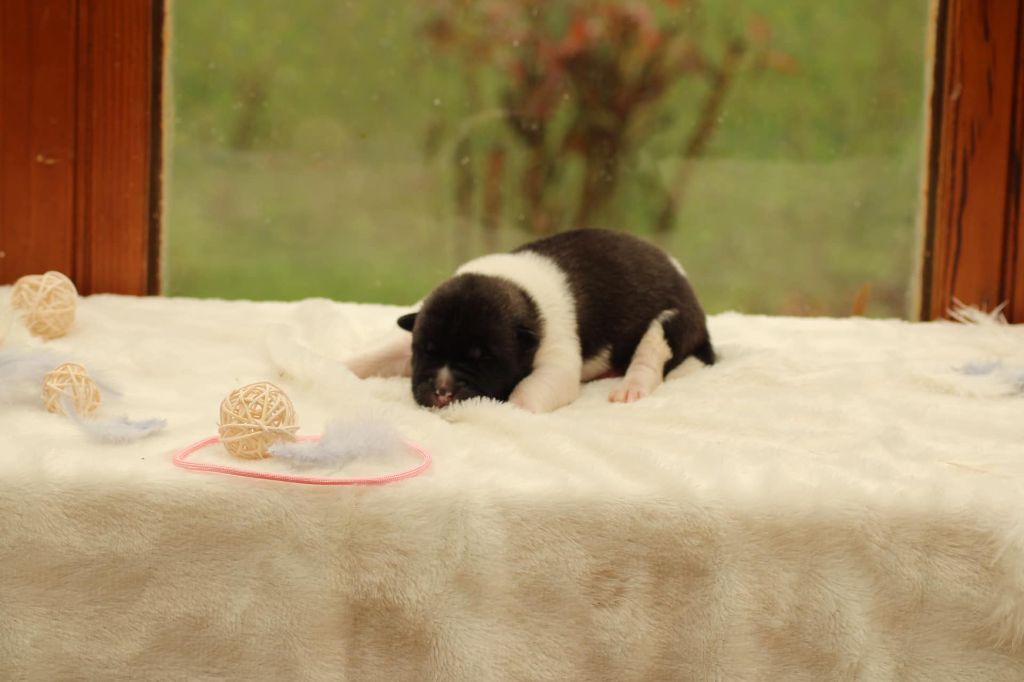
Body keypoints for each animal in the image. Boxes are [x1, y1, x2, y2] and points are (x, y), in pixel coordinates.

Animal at [345, 229, 714, 413]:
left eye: (484, 359)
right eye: (427, 351)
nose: (442, 393)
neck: (517, 289)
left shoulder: (558, 360)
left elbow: (529, 390)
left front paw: (511, 409)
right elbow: (383, 353)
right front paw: (345, 368)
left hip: (670, 322)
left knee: (650, 357)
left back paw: (629, 387)